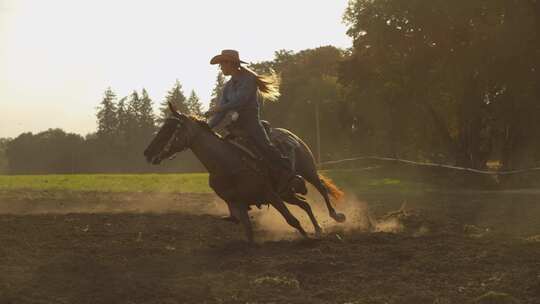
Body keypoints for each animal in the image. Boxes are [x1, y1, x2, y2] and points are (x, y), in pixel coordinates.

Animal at [143, 106, 346, 242]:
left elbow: (292, 220)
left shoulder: (270, 194)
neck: (226, 163)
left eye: (169, 129)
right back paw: (318, 229)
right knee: (305, 204)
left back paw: (336, 216)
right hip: (287, 193)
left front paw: (306, 238)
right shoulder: (237, 202)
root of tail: (290, 135)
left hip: (308, 171)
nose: (147, 152)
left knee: (321, 189)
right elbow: (248, 230)